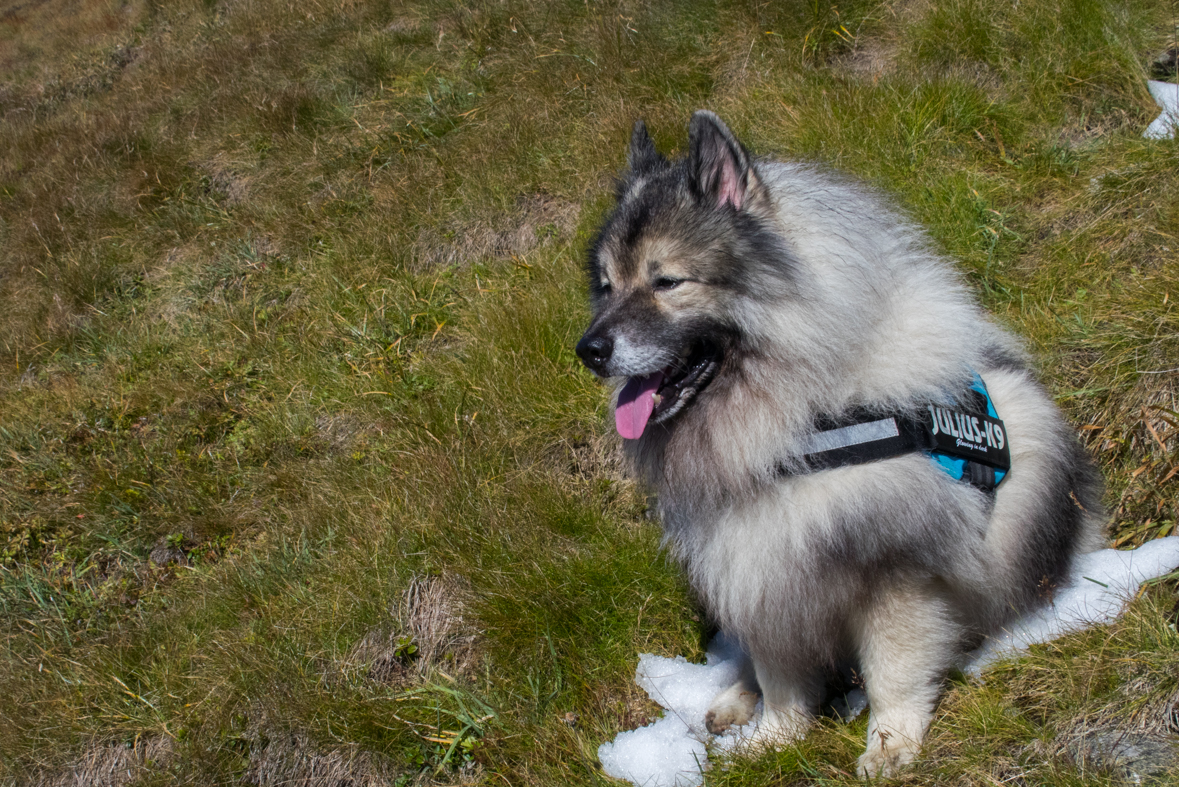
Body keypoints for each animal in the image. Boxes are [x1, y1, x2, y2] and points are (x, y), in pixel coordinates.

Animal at [572, 111, 1103, 782]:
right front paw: (775, 739)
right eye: (606, 286)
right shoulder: (762, 566)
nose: (589, 350)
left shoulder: (896, 573)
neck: (798, 422)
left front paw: (891, 744)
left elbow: (893, 673)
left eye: (667, 281)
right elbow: (780, 676)